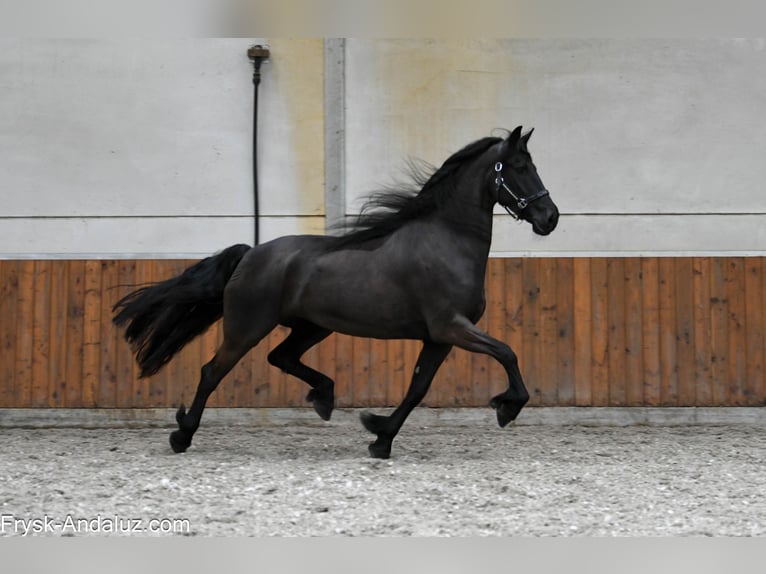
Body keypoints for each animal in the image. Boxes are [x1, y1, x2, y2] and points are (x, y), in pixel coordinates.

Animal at [112, 126, 560, 459]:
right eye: (519, 166)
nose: (550, 218)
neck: (447, 241)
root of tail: (250, 253)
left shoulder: (439, 337)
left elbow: (417, 389)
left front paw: (379, 435)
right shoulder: (452, 327)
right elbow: (507, 352)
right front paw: (507, 406)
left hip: (312, 326)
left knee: (281, 357)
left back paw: (325, 397)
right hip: (247, 327)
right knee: (212, 372)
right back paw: (182, 436)